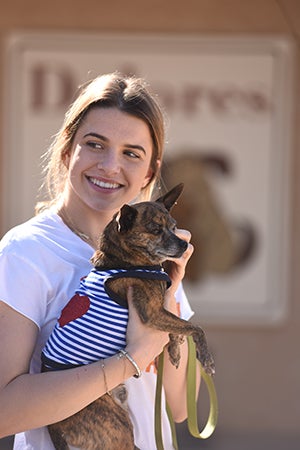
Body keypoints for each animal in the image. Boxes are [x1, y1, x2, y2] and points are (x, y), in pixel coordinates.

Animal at [42, 184, 216, 450]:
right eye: (155, 230)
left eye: (174, 227)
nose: (184, 245)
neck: (125, 260)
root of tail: (54, 426)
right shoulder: (152, 313)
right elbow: (194, 326)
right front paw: (205, 357)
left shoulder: (161, 311)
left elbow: (179, 327)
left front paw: (175, 351)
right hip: (116, 423)